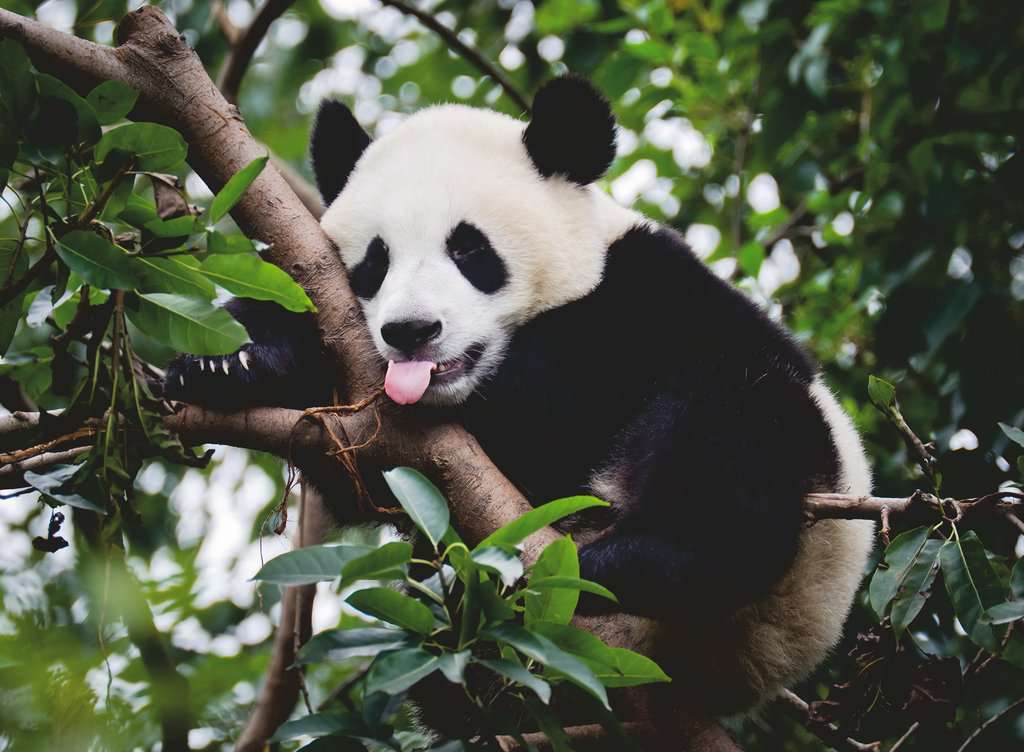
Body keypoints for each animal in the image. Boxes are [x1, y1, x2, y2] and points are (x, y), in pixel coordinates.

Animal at [165, 75, 874, 719]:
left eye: (469, 249)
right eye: (375, 261)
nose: (412, 331)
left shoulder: (644, 299)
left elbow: (552, 405)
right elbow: (356, 472)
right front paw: (226, 361)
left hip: (795, 549)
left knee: (732, 432)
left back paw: (626, 562)